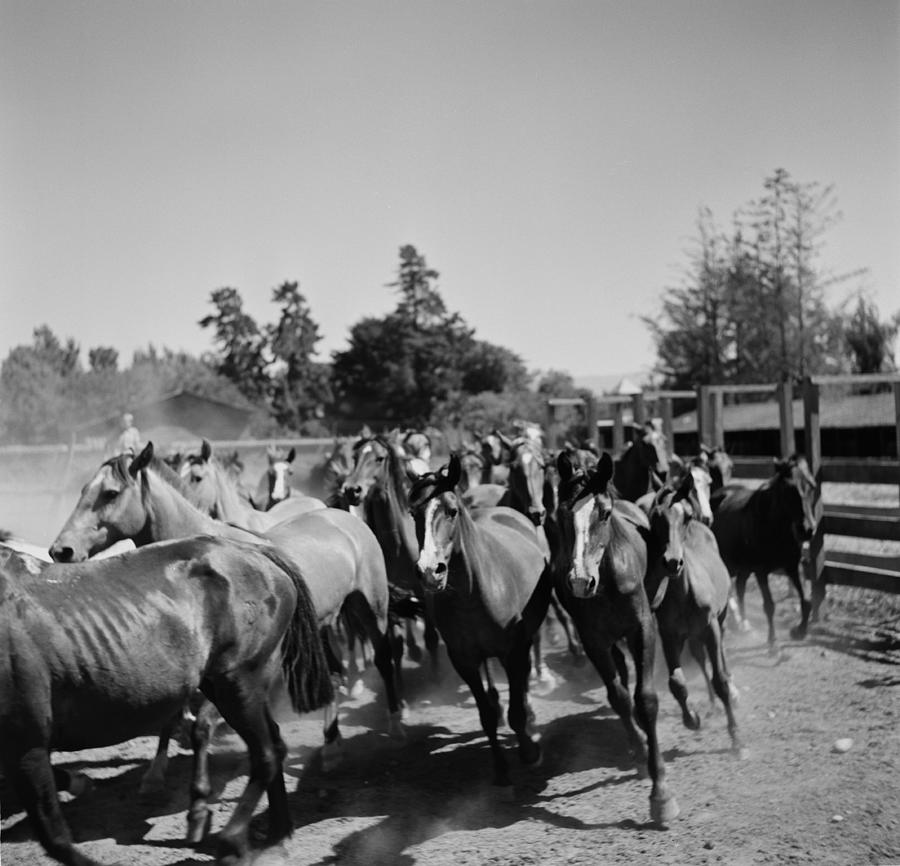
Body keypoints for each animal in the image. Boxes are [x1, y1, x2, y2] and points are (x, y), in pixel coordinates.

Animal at [0, 532, 332, 864]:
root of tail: (254, 550)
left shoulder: (27, 743)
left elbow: (53, 836)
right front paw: (81, 782)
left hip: (238, 681)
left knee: (266, 754)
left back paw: (232, 840)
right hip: (222, 684)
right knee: (274, 744)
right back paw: (277, 837)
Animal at [49, 442, 400, 772]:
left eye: (110, 493)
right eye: (83, 489)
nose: (61, 550)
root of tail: (344, 517)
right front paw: (156, 771)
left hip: (372, 608)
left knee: (383, 657)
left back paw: (395, 724)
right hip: (322, 625)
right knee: (334, 674)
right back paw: (331, 746)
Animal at [410, 456, 556, 792]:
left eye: (451, 510)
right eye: (413, 513)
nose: (430, 571)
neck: (474, 591)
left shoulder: (513, 650)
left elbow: (517, 710)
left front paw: (529, 752)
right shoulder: (463, 659)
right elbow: (486, 715)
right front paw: (500, 769)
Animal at [552, 452, 680, 824]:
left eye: (604, 513)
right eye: (561, 514)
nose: (580, 581)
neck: (606, 581)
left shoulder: (642, 628)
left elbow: (646, 699)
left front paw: (661, 794)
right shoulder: (593, 641)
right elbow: (619, 696)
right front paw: (639, 750)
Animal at [712, 452, 820, 648]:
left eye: (812, 486)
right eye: (787, 489)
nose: (807, 529)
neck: (775, 528)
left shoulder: (793, 566)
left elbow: (806, 601)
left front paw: (799, 631)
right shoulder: (761, 571)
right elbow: (769, 605)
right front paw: (772, 641)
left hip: (744, 567)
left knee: (740, 587)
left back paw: (744, 625)